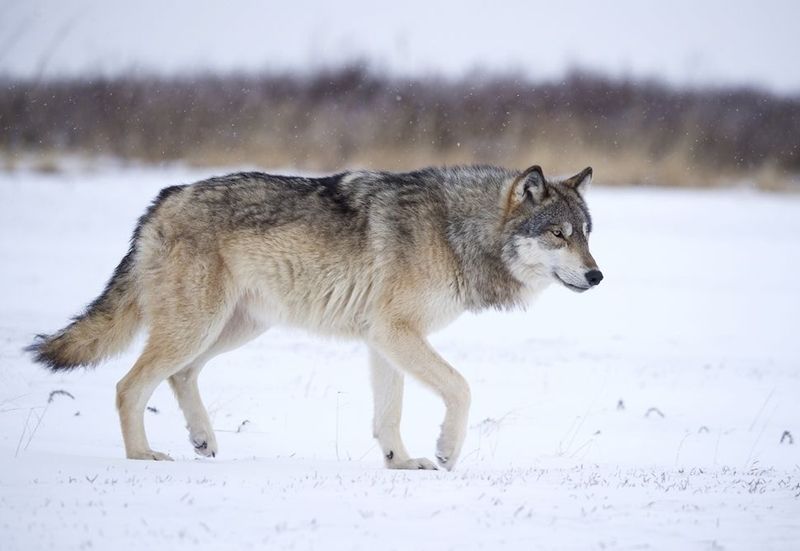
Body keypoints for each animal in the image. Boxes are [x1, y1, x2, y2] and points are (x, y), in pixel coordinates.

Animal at [26, 164, 600, 470]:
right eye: (558, 234)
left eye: (587, 233)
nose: (597, 277)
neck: (457, 231)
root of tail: (164, 198)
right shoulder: (396, 332)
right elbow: (460, 387)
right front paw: (445, 451)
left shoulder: (383, 339)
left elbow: (388, 415)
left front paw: (401, 463)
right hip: (199, 326)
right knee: (129, 385)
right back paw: (142, 456)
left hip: (234, 327)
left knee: (180, 375)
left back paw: (202, 440)